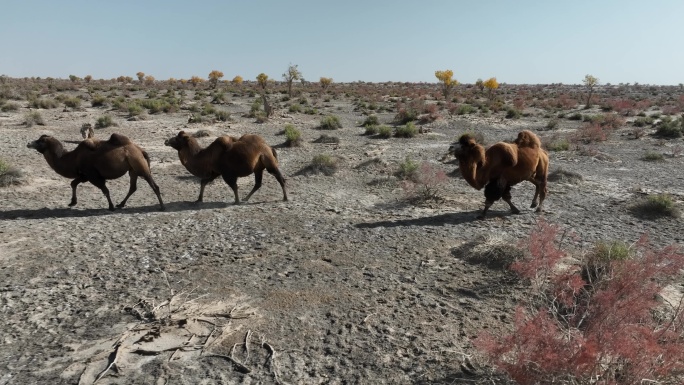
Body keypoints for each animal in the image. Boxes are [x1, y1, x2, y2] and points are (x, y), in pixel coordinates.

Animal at [27, 134, 167, 212]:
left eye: (40, 141)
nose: (29, 143)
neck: (72, 158)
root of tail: (141, 150)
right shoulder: (84, 175)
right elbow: (73, 183)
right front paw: (72, 202)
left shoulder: (93, 175)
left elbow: (105, 190)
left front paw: (110, 207)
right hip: (132, 169)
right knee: (133, 187)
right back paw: (121, 204)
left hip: (140, 166)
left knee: (153, 185)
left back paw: (162, 207)